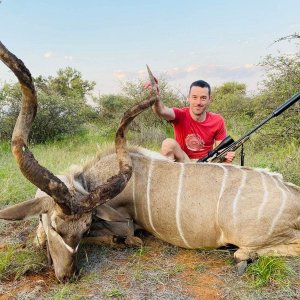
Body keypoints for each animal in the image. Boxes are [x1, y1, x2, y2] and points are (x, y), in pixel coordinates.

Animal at [0, 42, 300, 282]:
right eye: (55, 226)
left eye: (83, 228)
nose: (67, 276)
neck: (94, 178)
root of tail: (293, 195)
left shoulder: (123, 222)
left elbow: (124, 235)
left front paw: (123, 241)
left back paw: (242, 257)